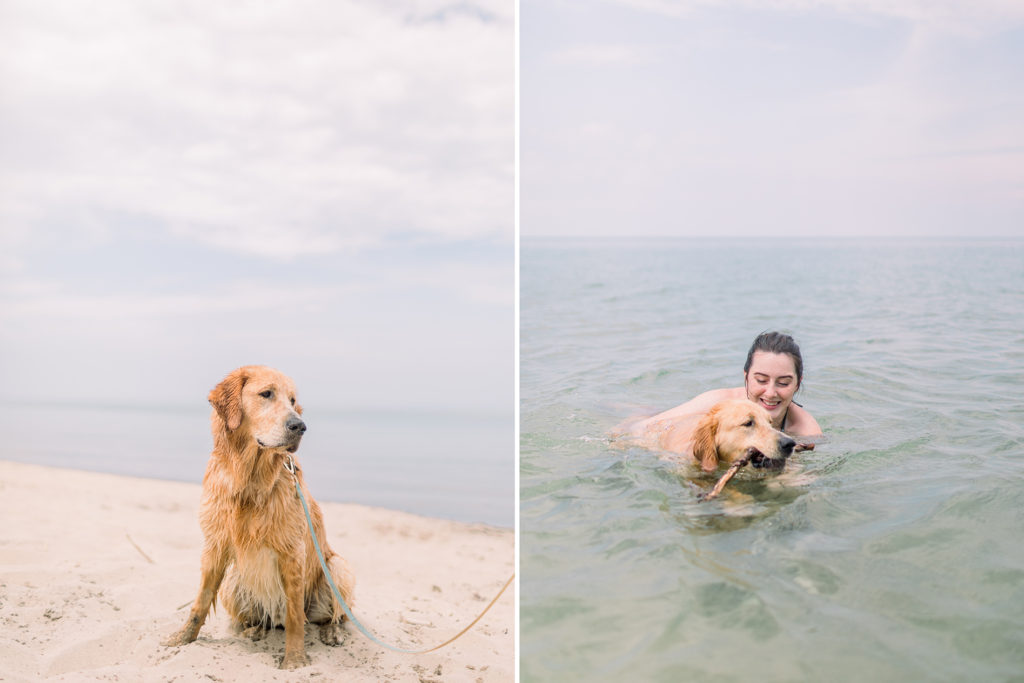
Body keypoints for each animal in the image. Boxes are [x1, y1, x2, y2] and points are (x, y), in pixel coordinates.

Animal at [165, 366, 358, 671]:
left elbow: (295, 616)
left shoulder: (292, 551)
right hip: (233, 583)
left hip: (338, 568)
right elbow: (200, 601)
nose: (300, 426)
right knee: (261, 618)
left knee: (333, 615)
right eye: (266, 394)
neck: (250, 479)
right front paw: (183, 638)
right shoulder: (214, 544)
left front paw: (294, 660)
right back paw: (253, 630)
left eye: (292, 401)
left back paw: (332, 631)